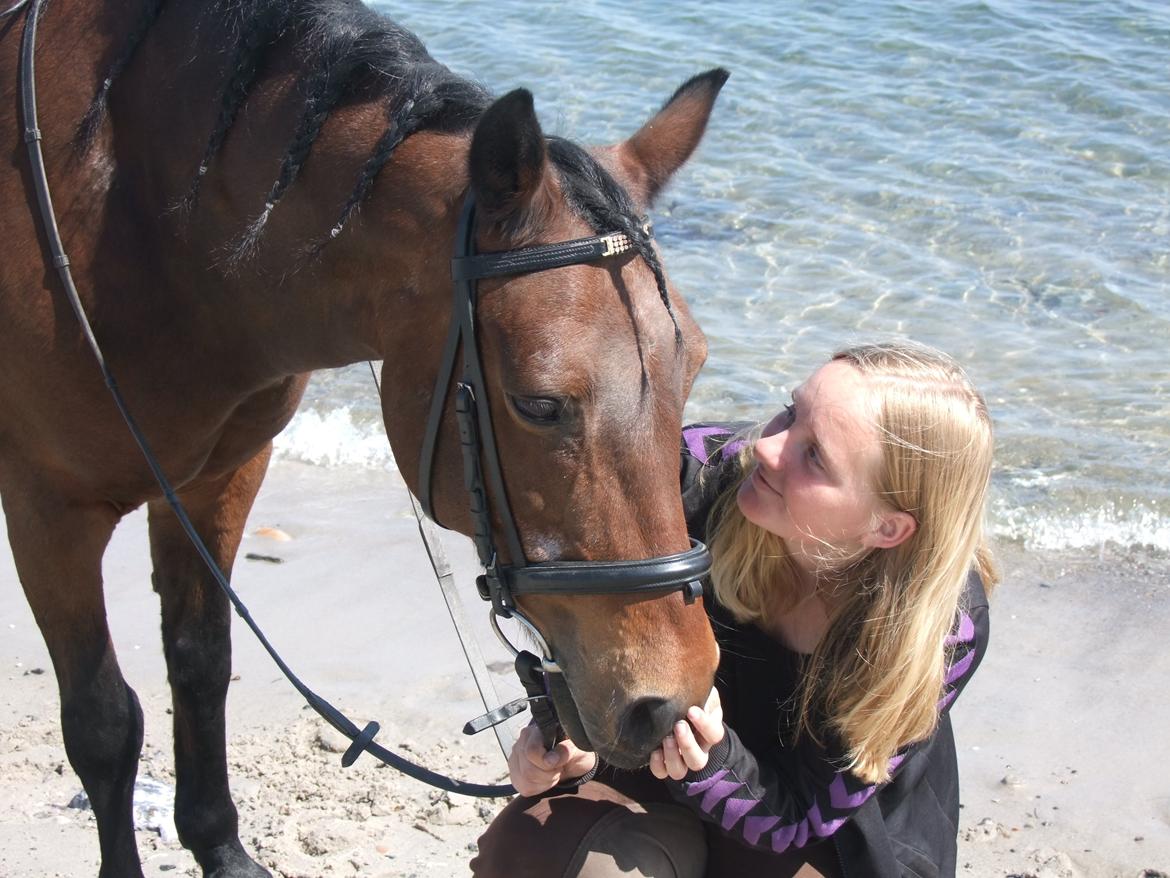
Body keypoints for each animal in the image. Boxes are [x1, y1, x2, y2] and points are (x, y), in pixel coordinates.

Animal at [0, 0, 727, 875]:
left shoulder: (219, 479)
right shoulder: (49, 511)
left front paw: (222, 848)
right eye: (540, 404)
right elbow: (104, 723)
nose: (674, 697)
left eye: (695, 364)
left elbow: (202, 665)